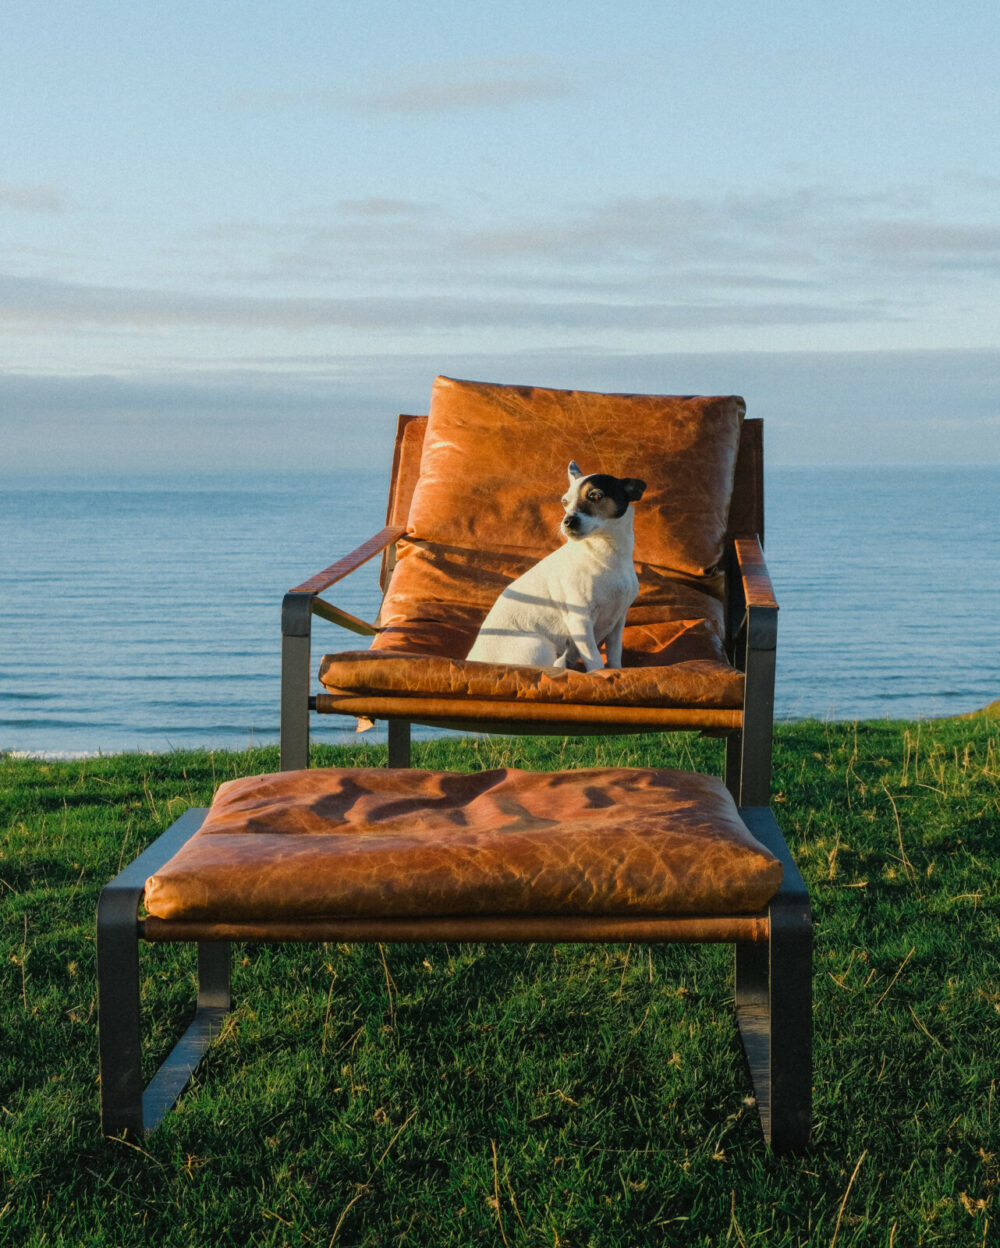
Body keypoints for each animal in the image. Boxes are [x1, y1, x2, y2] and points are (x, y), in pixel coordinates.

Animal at [466, 461, 649, 673]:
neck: (606, 556)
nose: (567, 521)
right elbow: (595, 661)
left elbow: (614, 656)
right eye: (564, 502)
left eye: (595, 496)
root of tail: (473, 660)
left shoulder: (617, 622)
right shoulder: (580, 622)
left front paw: (616, 671)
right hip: (540, 645)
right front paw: (598, 676)